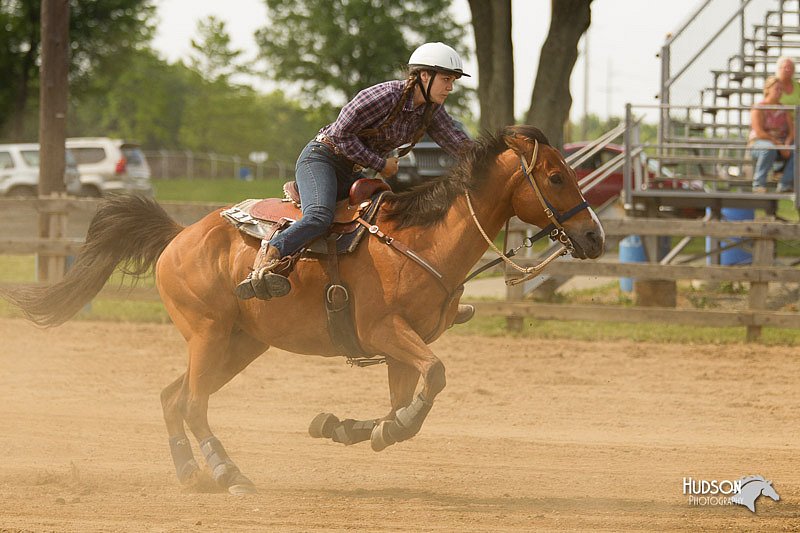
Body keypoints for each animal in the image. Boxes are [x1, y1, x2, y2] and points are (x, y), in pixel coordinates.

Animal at [0, 124, 604, 494]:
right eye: (556, 176)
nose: (594, 236)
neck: (420, 241)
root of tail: (179, 235)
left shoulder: (399, 350)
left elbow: (403, 405)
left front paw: (345, 427)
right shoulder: (385, 332)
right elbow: (435, 376)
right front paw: (371, 428)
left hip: (238, 344)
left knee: (174, 398)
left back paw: (193, 473)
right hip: (209, 335)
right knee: (192, 404)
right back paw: (230, 474)